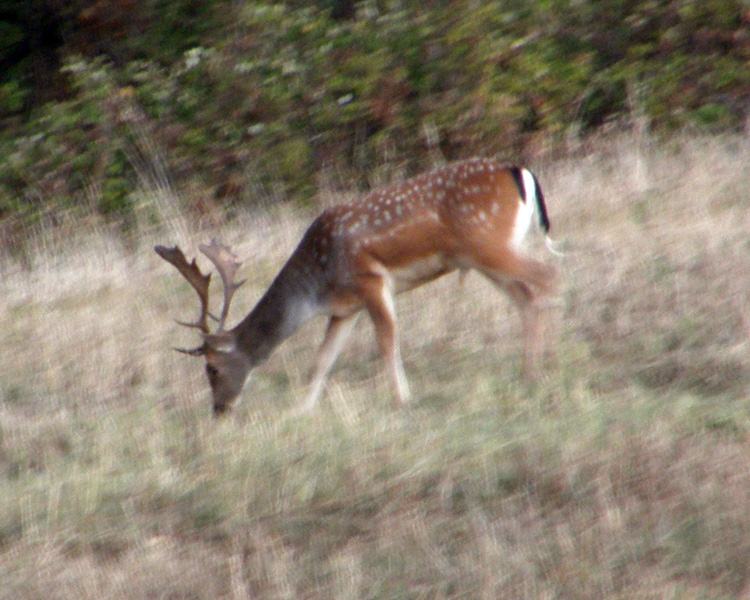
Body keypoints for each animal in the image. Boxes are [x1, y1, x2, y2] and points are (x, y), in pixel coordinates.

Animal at [157, 157, 560, 414]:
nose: (219, 409)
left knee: (547, 276)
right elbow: (321, 360)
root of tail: (519, 171)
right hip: (484, 256)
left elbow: (387, 341)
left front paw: (402, 401)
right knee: (527, 295)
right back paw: (530, 372)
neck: (317, 281)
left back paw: (545, 369)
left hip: (488, 244)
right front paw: (301, 411)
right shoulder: (344, 308)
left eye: (212, 369)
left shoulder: (371, 280)